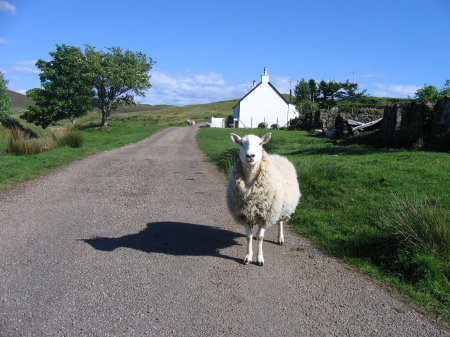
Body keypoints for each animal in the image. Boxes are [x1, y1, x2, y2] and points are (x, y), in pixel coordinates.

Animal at [227, 132, 300, 266]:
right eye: (241, 143)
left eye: (260, 143)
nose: (250, 156)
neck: (250, 182)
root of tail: (278, 155)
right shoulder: (244, 214)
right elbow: (248, 237)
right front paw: (248, 256)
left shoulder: (266, 215)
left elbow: (261, 238)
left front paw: (260, 258)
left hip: (280, 207)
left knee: (280, 222)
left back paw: (280, 238)